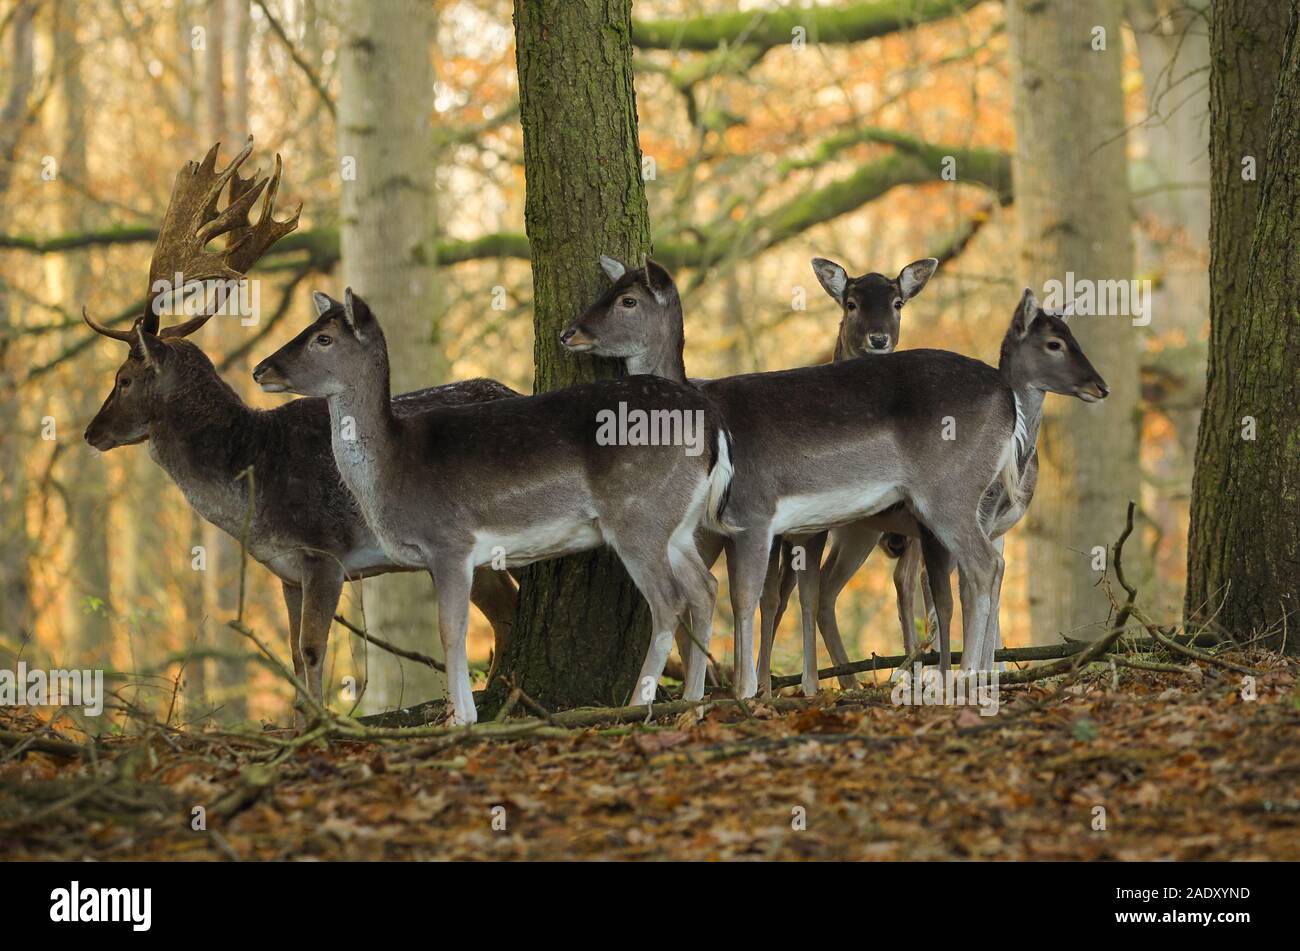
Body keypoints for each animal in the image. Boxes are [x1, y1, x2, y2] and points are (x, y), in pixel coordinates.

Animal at [78, 139, 517, 722]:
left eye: (123, 378)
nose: (91, 432)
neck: (253, 482)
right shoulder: (284, 570)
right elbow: (291, 653)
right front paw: (303, 721)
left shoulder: (325, 551)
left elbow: (312, 648)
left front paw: (321, 723)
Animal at [249, 285, 738, 722]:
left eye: (323, 338)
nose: (260, 370)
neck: (394, 468)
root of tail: (713, 423)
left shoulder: (449, 542)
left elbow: (452, 630)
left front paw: (461, 719)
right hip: (678, 524)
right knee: (705, 588)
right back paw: (693, 704)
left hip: (638, 517)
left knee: (669, 599)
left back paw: (638, 706)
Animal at [559, 255, 1107, 696]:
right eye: (605, 290)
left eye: (627, 299)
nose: (569, 332)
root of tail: (1006, 399)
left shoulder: (753, 511)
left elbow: (745, 597)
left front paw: (748, 692)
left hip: (947, 495)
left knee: (979, 570)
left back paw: (965, 679)